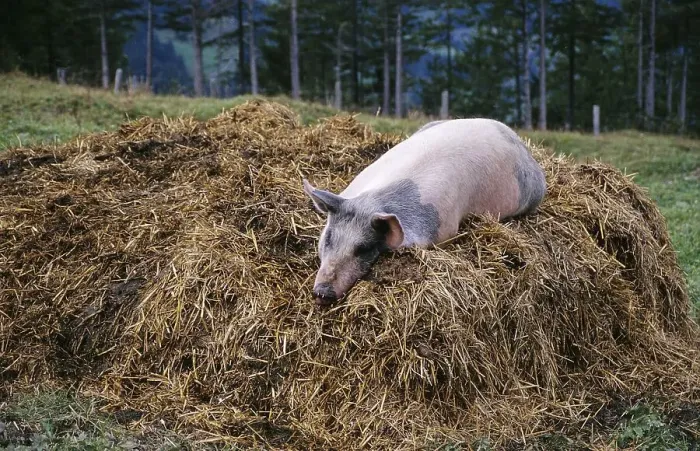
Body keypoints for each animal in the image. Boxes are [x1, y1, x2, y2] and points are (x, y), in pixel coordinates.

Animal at [303, 118, 546, 306]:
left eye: (363, 249)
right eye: (329, 238)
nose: (323, 292)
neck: (373, 202)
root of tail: (516, 139)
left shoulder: (444, 228)